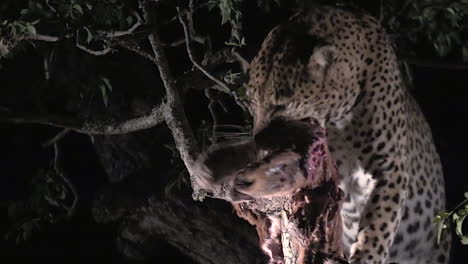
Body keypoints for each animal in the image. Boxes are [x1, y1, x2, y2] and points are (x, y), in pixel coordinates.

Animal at [193, 4, 450, 264]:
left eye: (281, 105)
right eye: (253, 103)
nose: (259, 138)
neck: (339, 121)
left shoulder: (390, 166)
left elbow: (378, 224)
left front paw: (366, 255)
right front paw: (219, 167)